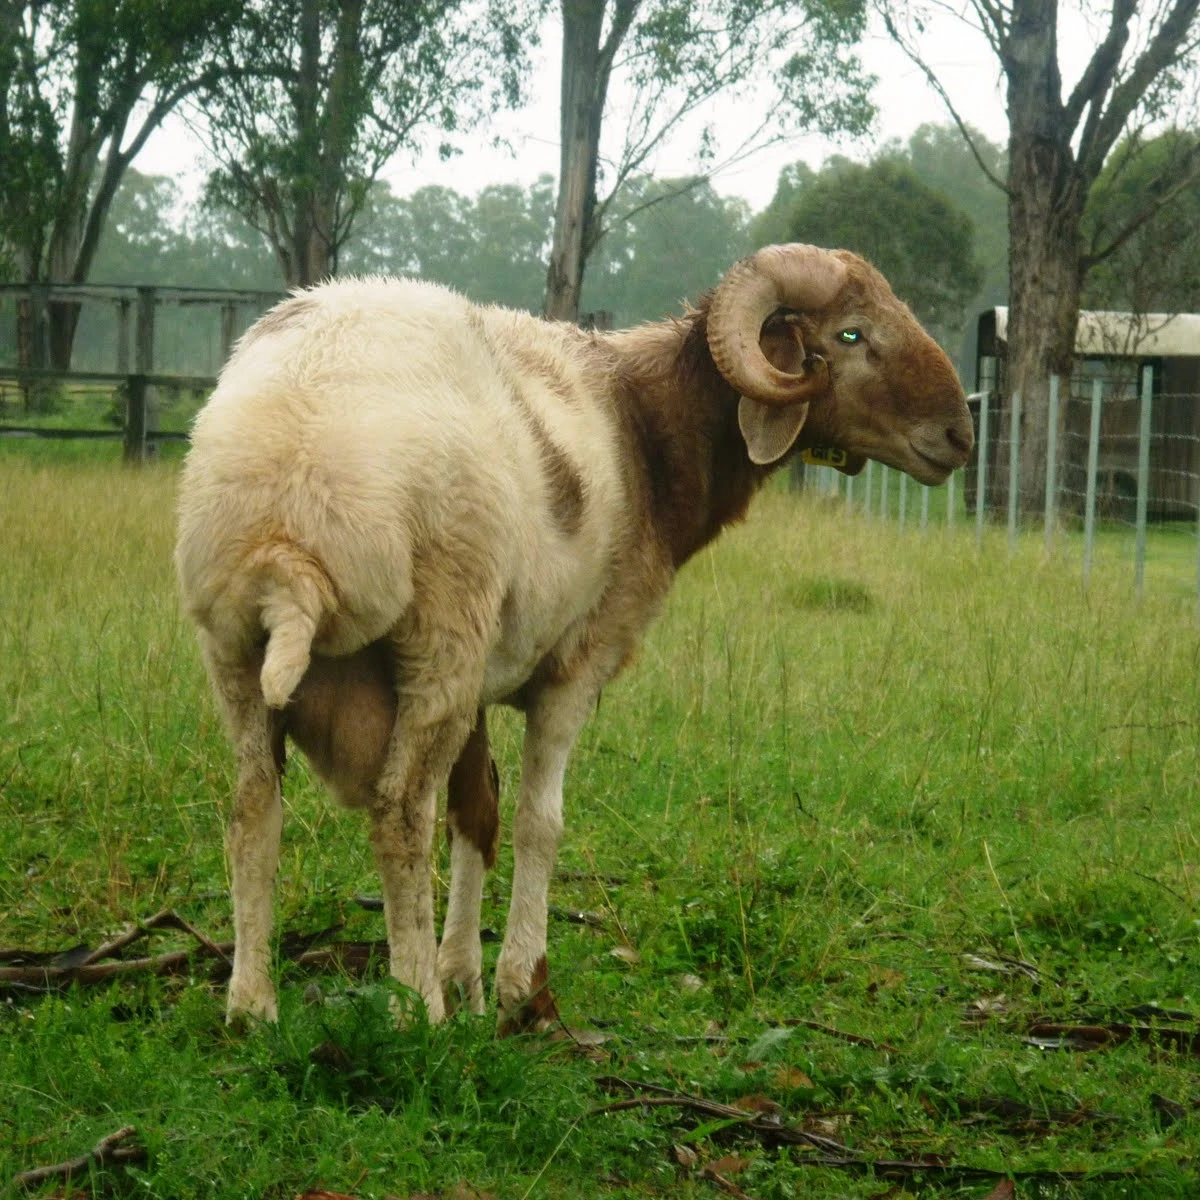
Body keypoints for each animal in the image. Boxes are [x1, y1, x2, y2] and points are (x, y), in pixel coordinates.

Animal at [175, 244, 974, 1030]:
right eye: (851, 335)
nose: (960, 437)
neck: (649, 433)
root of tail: (286, 539)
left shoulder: (486, 678)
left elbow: (479, 812)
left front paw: (465, 981)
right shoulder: (577, 666)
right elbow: (540, 822)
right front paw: (520, 991)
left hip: (236, 652)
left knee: (253, 810)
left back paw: (252, 1007)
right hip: (442, 636)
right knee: (400, 812)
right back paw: (414, 1012)